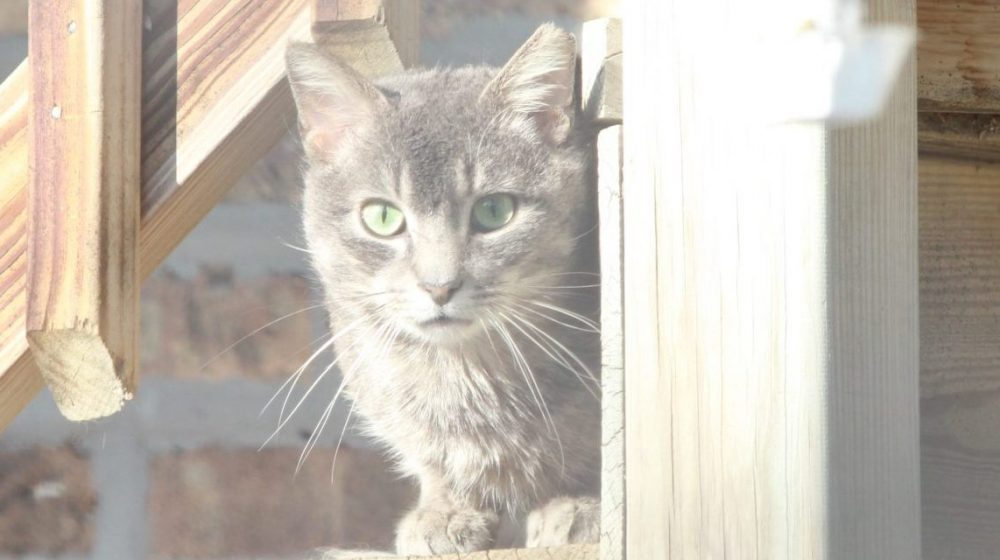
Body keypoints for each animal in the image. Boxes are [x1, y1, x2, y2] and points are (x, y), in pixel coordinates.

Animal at [286, 24, 596, 552]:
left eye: (494, 211)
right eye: (382, 217)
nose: (439, 286)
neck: (463, 369)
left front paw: (581, 504)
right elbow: (434, 460)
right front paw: (446, 510)